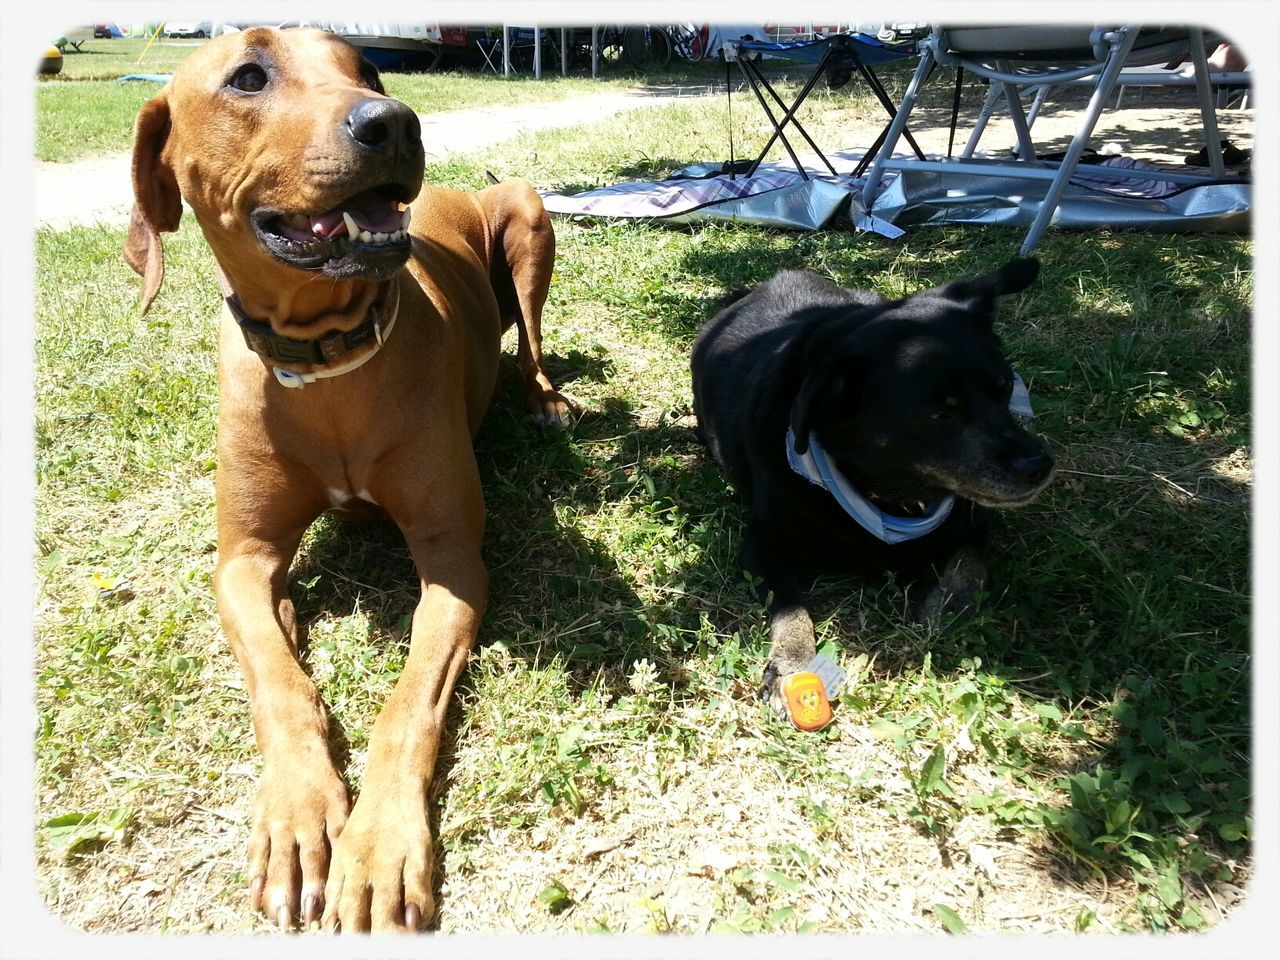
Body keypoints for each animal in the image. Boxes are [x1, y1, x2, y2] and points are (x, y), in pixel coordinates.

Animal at [127, 28, 568, 931]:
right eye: (248, 75)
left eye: (366, 69)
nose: (394, 122)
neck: (326, 357)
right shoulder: (241, 562)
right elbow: (278, 678)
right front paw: (298, 815)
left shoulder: (452, 556)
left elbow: (410, 705)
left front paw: (379, 849)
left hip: (528, 216)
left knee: (534, 346)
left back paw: (545, 398)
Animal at [696, 259, 1054, 716]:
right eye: (938, 414)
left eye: (1005, 386)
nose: (1038, 466)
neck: (888, 494)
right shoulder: (764, 540)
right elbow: (791, 607)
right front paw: (794, 664)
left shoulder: (974, 523)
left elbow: (969, 569)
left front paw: (941, 612)